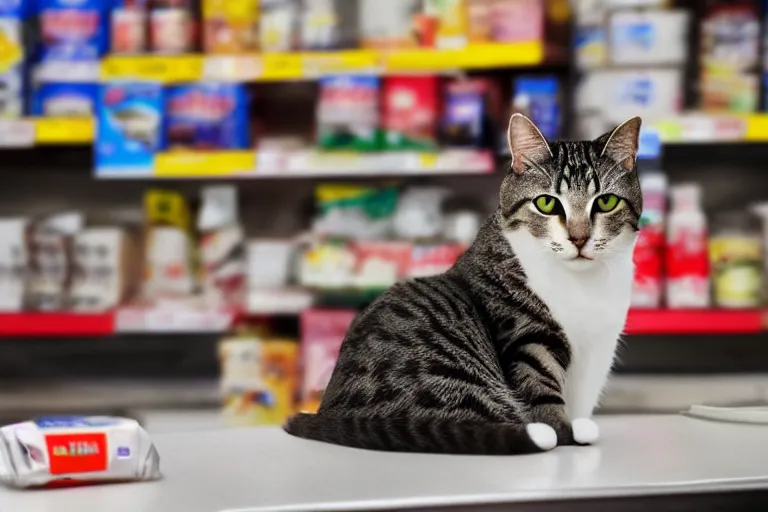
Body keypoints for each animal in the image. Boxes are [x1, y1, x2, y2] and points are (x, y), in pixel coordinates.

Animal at [282, 114, 640, 454]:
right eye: (547, 203)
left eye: (606, 202)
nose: (579, 239)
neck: (582, 284)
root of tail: (334, 414)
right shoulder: (527, 333)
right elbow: (540, 388)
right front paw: (563, 430)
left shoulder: (600, 347)